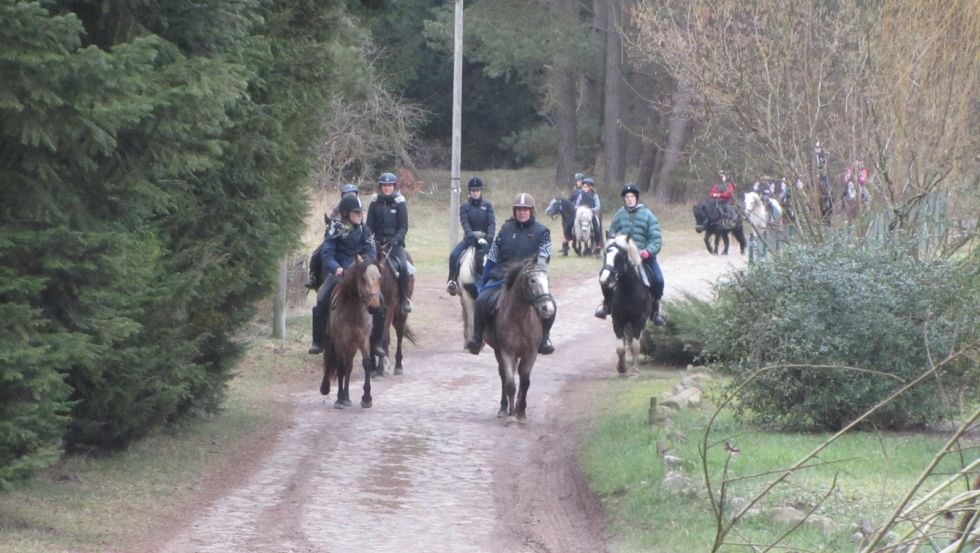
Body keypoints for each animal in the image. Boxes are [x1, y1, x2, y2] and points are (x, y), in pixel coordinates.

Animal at [322, 258, 382, 406]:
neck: (353, 311)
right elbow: (340, 367)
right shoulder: (339, 341)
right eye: (363, 278)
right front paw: (339, 399)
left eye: (380, 278)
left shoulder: (363, 339)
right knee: (330, 360)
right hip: (332, 341)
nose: (373, 307)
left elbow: (366, 363)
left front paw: (366, 397)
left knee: (348, 367)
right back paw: (327, 388)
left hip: (352, 346)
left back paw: (347, 396)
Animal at [366, 244, 416, 378]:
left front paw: (379, 368)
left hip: (400, 312)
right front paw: (373, 368)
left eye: (378, 277)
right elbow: (372, 337)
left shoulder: (388, 308)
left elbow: (382, 337)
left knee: (399, 333)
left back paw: (397, 366)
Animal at [480, 256, 552, 420]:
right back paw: (503, 408)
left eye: (547, 279)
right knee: (503, 376)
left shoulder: (531, 353)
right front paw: (512, 413)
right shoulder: (507, 352)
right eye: (532, 280)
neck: (520, 319)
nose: (547, 308)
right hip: (498, 351)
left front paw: (521, 412)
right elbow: (510, 384)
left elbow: (525, 382)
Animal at [596, 233, 652, 376]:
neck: (628, 289)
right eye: (605, 254)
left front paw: (635, 371)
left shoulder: (639, 320)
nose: (604, 279)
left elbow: (635, 345)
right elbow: (621, 347)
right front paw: (622, 368)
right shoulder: (618, 320)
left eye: (620, 255)